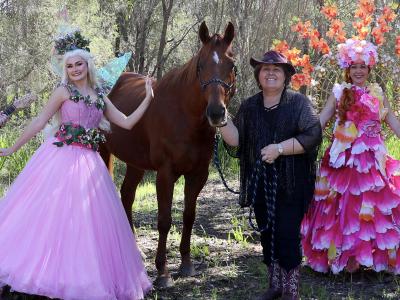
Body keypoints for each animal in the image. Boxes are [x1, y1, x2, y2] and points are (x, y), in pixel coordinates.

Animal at [101, 22, 234, 288]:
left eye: (231, 64)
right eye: (200, 65)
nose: (216, 113)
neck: (184, 115)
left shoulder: (198, 175)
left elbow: (189, 216)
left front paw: (186, 264)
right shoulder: (165, 174)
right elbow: (164, 220)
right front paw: (163, 272)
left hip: (135, 163)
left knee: (127, 196)